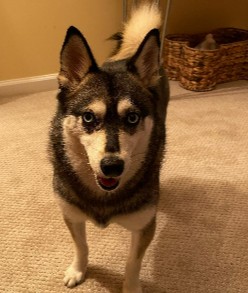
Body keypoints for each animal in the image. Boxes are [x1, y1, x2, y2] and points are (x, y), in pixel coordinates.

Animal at [49, 2, 169, 292]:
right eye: (88, 117)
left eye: (133, 118)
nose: (112, 166)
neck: (103, 197)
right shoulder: (71, 214)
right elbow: (81, 245)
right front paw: (78, 270)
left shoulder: (144, 224)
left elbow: (133, 263)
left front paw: (131, 287)